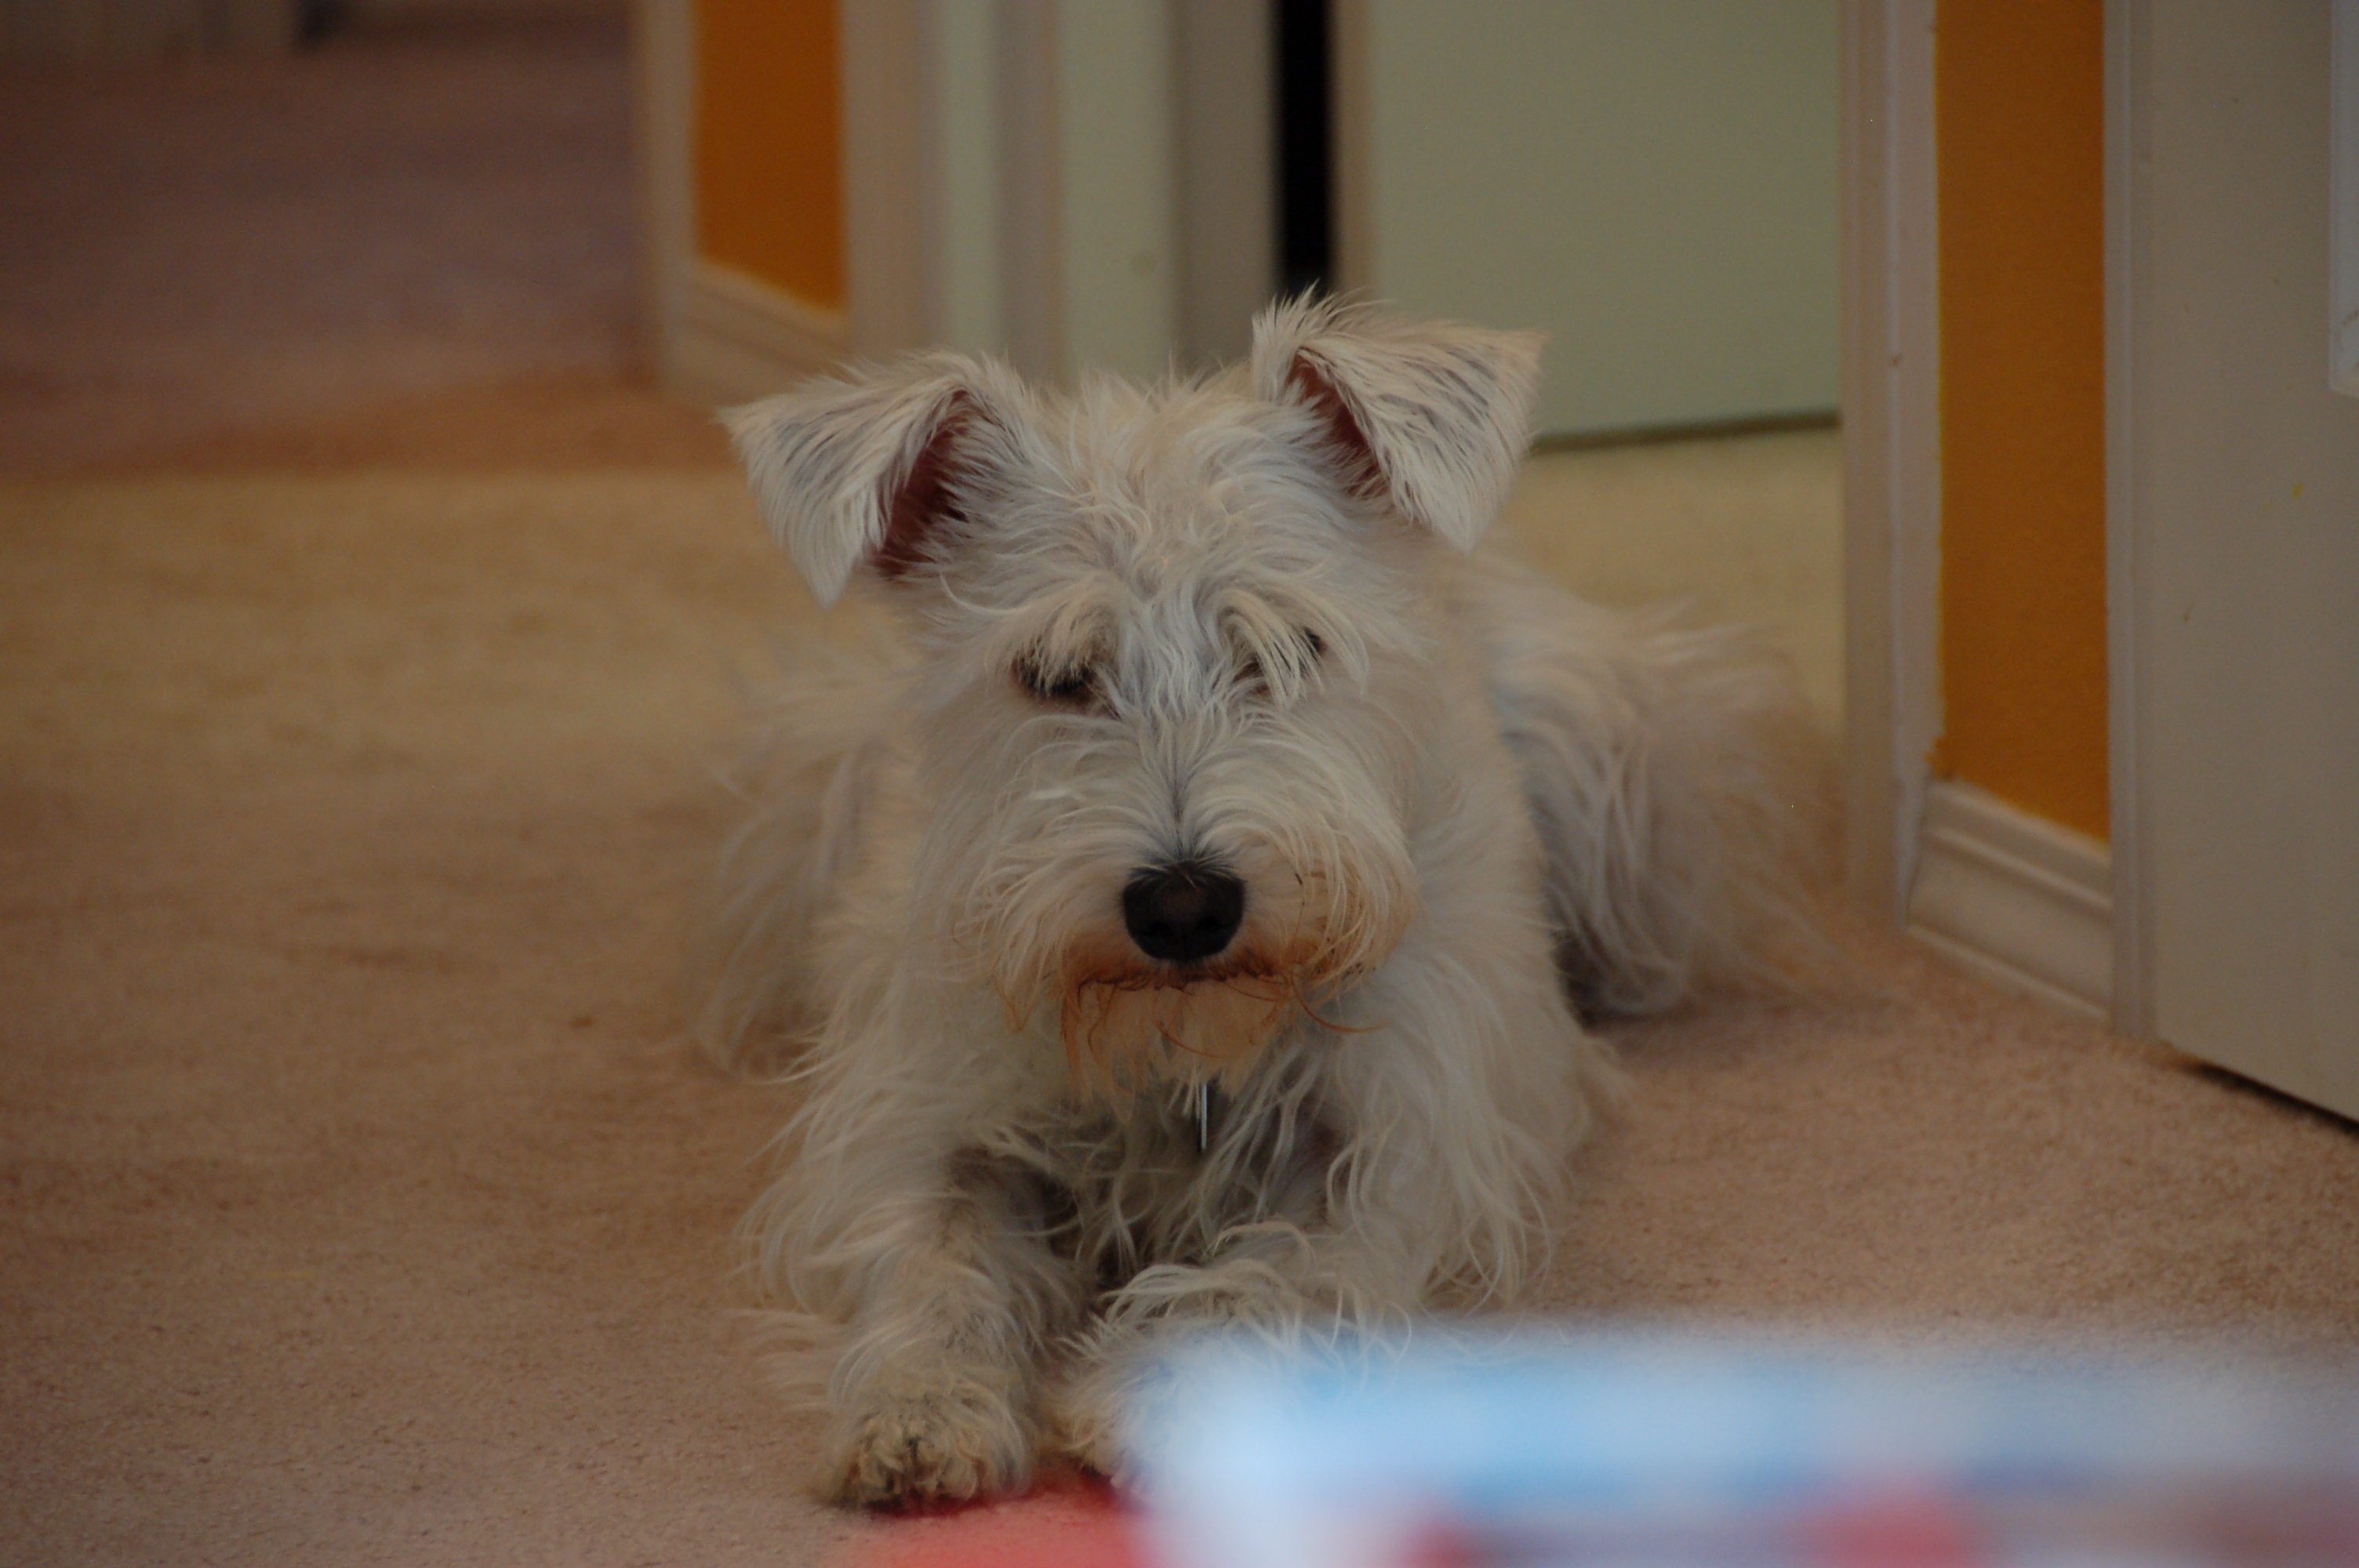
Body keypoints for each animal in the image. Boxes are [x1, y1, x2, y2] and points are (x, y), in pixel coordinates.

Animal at [696, 299, 1818, 1506]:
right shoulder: (927, 1118)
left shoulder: (1395, 1151)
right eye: (1052, 672)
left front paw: (1149, 1394)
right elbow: (933, 1257)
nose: (1184, 908)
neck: (1179, 1043)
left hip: (1606, 757)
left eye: (1289, 646)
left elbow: (1261, 1274)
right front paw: (919, 1406)